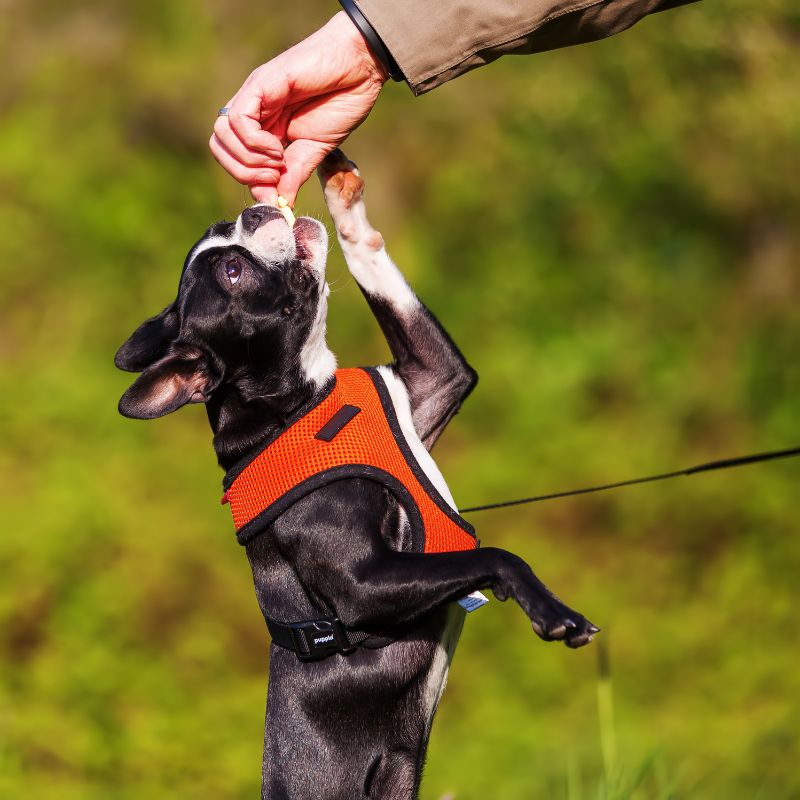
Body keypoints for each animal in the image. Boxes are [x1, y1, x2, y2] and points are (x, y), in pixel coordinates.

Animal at [115, 152, 596, 800]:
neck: (302, 406)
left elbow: (371, 259)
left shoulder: (436, 378)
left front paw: (341, 191)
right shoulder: (362, 584)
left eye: (225, 238)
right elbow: (495, 554)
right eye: (235, 273)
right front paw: (550, 611)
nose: (254, 211)